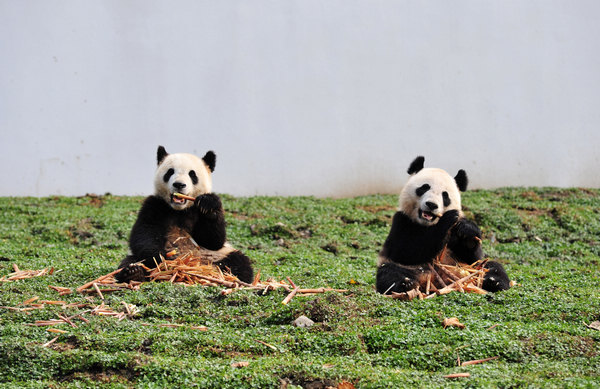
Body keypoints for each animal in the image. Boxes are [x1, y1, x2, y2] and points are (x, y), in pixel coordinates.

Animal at [115, 146, 253, 282]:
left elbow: (213, 241)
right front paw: (162, 259)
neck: (180, 210)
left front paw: (208, 205)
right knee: (131, 260)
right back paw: (133, 272)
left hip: (219, 254)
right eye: (170, 172)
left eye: (192, 174)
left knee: (240, 262)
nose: (179, 184)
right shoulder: (155, 205)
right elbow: (145, 234)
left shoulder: (197, 211)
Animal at [376, 156, 510, 292]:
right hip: (409, 269)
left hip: (468, 268)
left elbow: (472, 256)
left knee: (492, 266)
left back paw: (494, 282)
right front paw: (447, 218)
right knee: (389, 271)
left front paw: (467, 229)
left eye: (445, 195)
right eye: (424, 187)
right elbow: (405, 251)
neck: (428, 225)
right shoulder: (402, 221)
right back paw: (406, 284)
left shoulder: (457, 240)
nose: (431, 205)